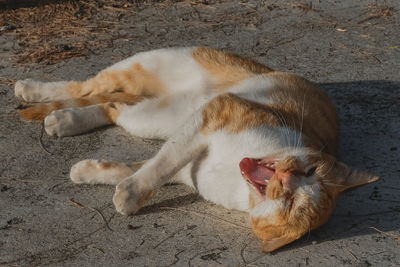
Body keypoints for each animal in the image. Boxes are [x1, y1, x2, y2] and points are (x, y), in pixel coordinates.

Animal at [14, 46, 378, 253]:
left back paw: (64, 120)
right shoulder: (215, 113)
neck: (235, 179)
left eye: (291, 205)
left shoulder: (187, 169)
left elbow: (146, 167)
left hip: (150, 118)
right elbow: (161, 164)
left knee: (113, 107)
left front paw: (95, 176)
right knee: (85, 86)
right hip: (147, 69)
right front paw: (129, 195)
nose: (286, 179)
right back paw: (31, 89)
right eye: (309, 171)